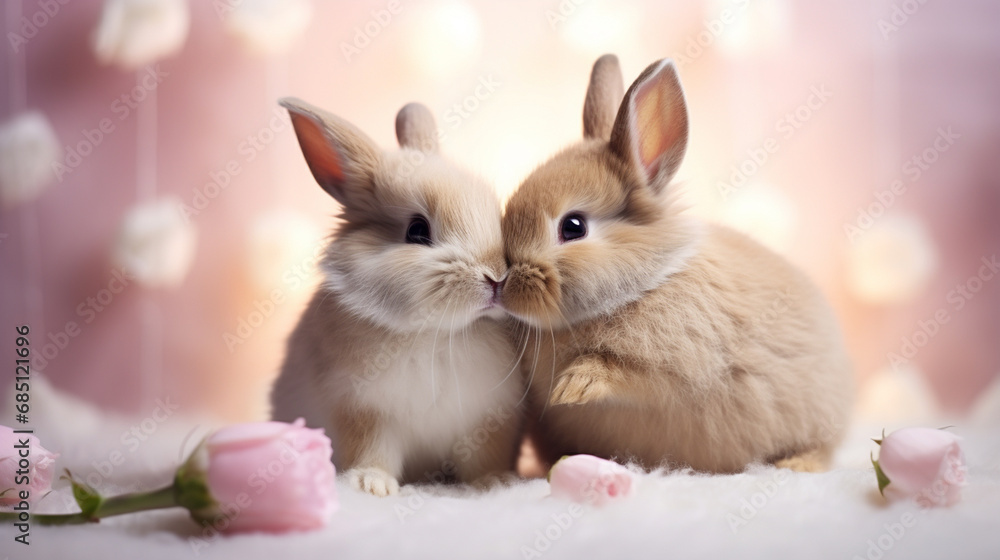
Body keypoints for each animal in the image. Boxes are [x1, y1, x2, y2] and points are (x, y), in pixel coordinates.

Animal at [270, 98, 523, 496]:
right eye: (416, 231)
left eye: (496, 216)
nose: (497, 276)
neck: (437, 333)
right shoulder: (362, 410)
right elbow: (372, 450)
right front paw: (371, 485)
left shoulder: (490, 417)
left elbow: (485, 455)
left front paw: (495, 482)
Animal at [500, 55, 854, 474]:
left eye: (573, 227)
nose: (504, 287)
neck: (645, 284)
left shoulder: (679, 368)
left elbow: (628, 374)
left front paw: (573, 387)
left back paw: (796, 465)